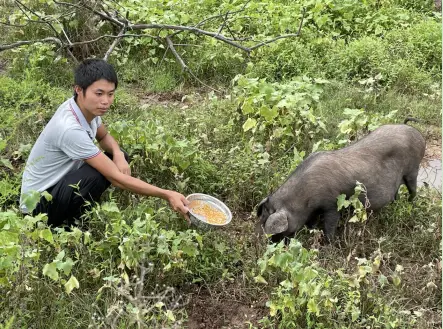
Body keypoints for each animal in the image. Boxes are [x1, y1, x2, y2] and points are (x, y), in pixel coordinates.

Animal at [256, 121, 426, 241]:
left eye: (272, 229)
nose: (268, 243)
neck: (303, 198)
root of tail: (417, 134)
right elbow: (312, 223)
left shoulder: (332, 203)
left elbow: (330, 225)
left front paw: (329, 242)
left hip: (412, 170)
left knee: (413, 190)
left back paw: (410, 203)